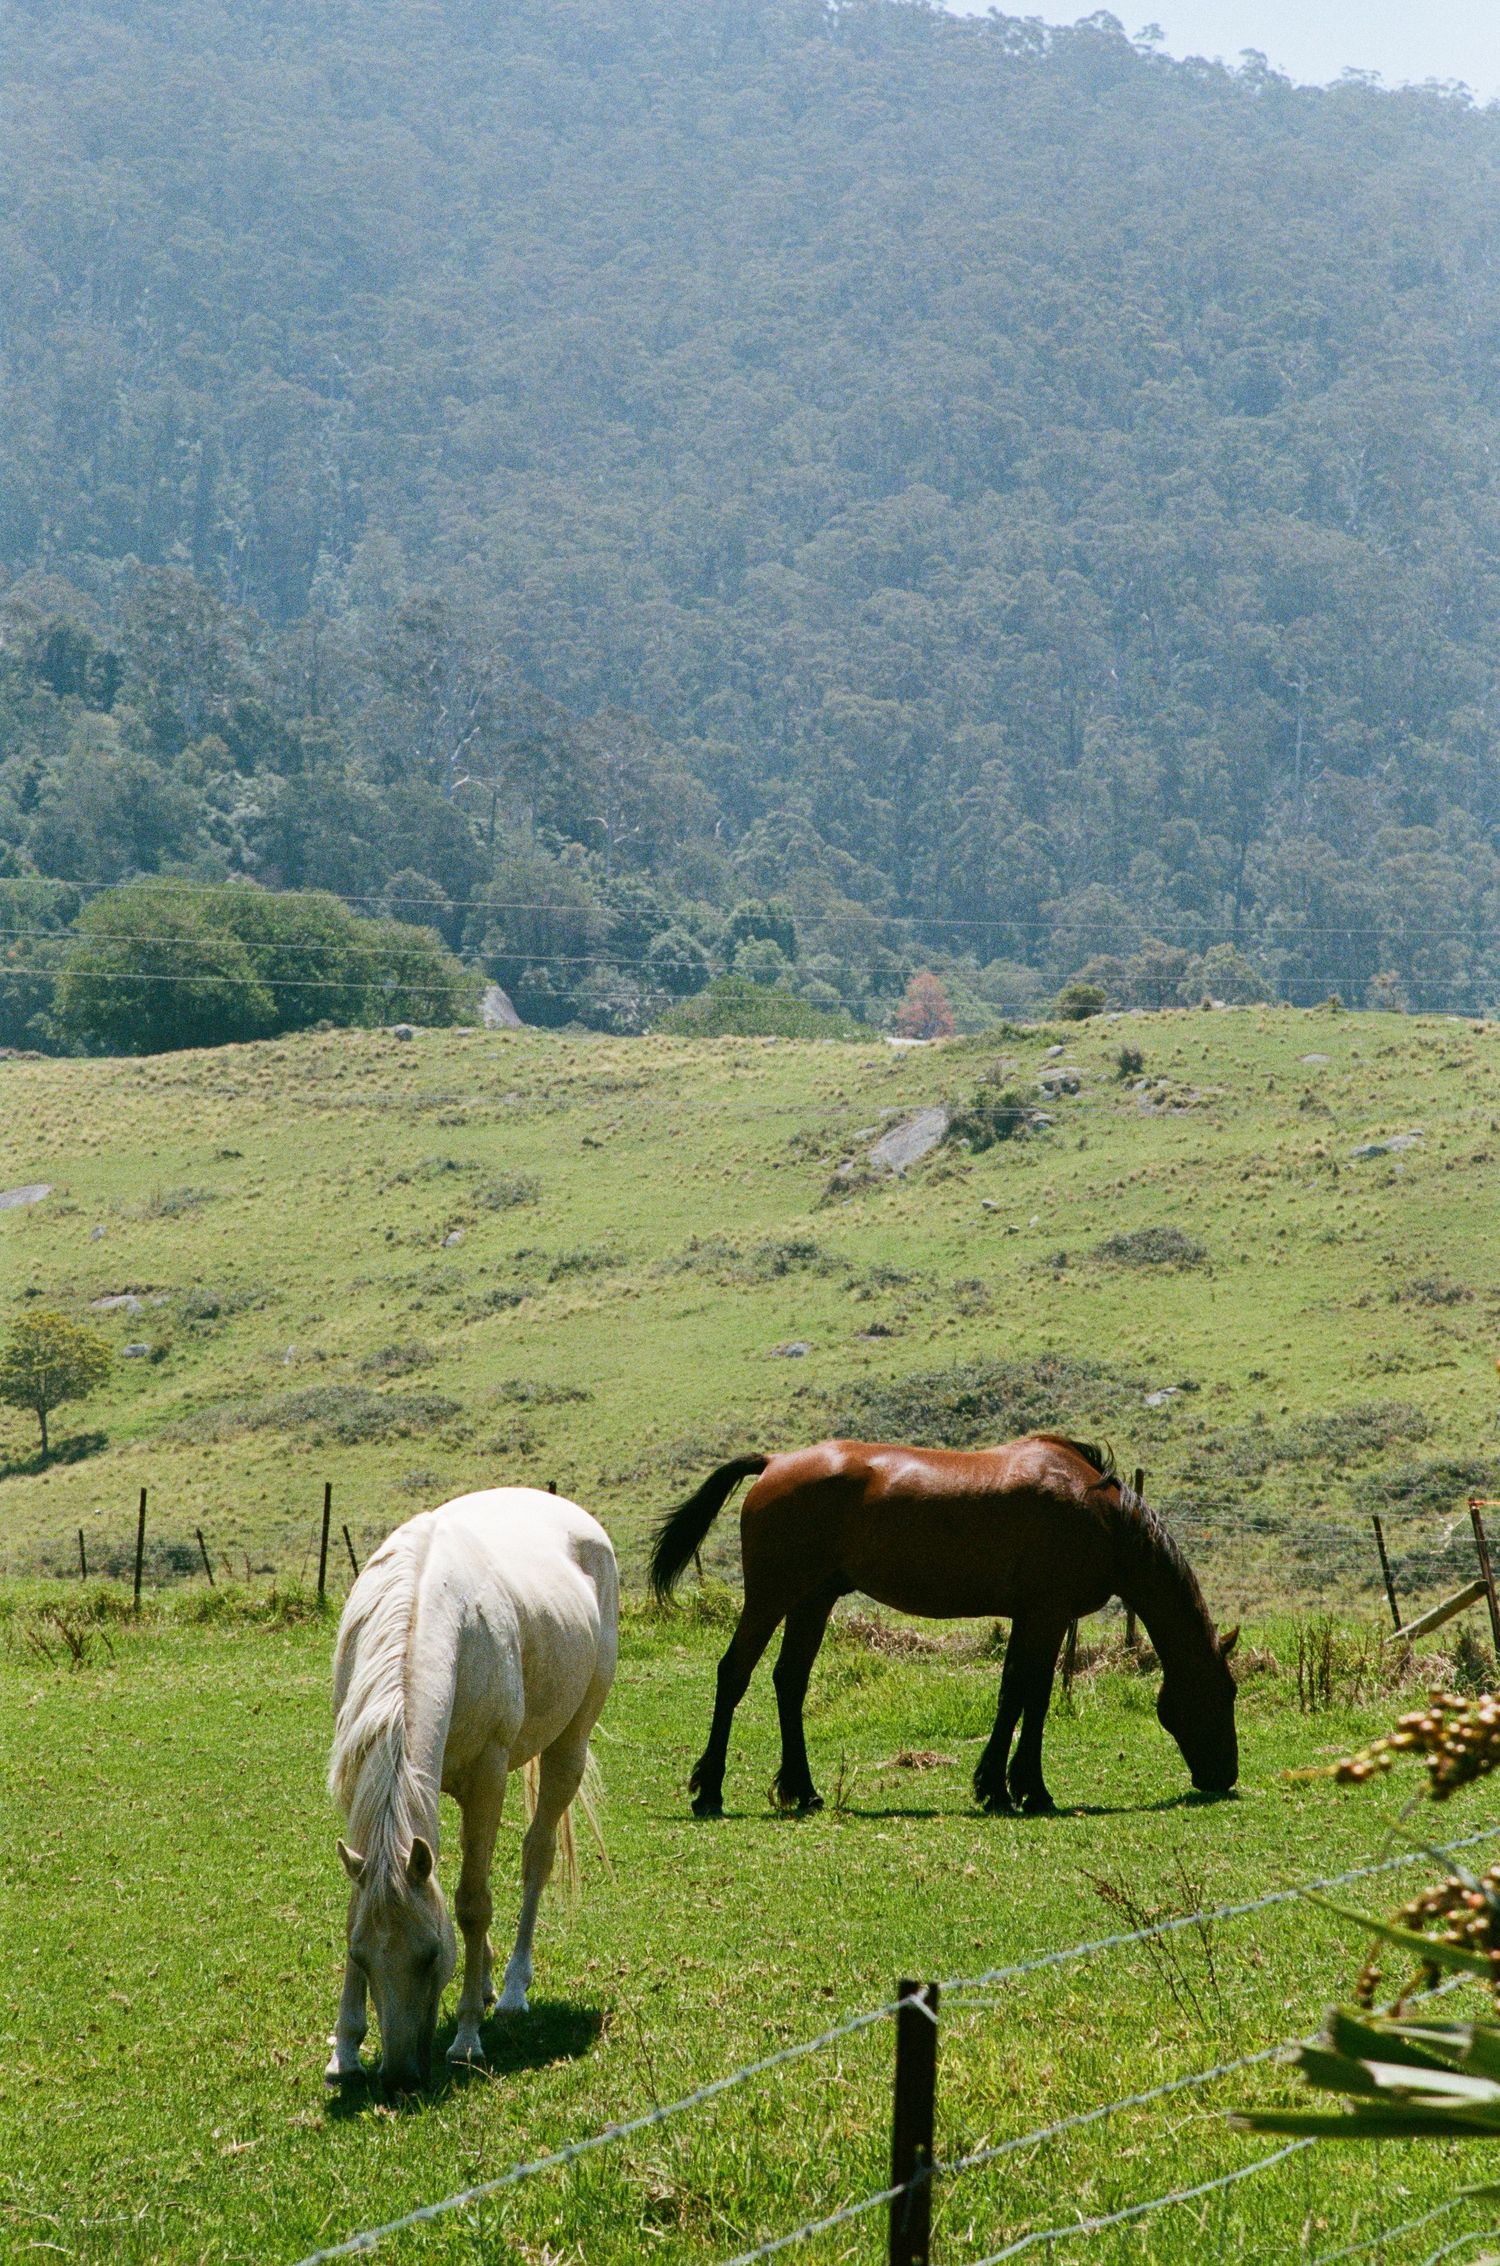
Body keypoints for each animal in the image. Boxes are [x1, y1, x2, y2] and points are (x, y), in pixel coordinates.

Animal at [325, 1486, 617, 2089]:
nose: (400, 2076)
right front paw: (344, 2049)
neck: (420, 1609)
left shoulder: (486, 1777)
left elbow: (473, 1905)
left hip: (568, 1748)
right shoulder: (359, 1778)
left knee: (536, 1857)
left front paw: (464, 2038)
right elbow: (358, 1901)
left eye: (433, 1955)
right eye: (361, 1958)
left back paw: (509, 1991)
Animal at [649, 1434, 1237, 1817]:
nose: (1226, 1776)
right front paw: (1027, 1790)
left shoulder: (1032, 1617)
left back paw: (804, 1791)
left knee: (789, 1681)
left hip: (812, 1601)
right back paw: (709, 1792)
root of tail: (773, 1463)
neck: (1102, 1516)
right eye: (1225, 1693)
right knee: (734, 1673)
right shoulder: (1048, 1614)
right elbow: (1033, 1695)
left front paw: (998, 1787)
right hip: (772, 1597)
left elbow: (1015, 1692)